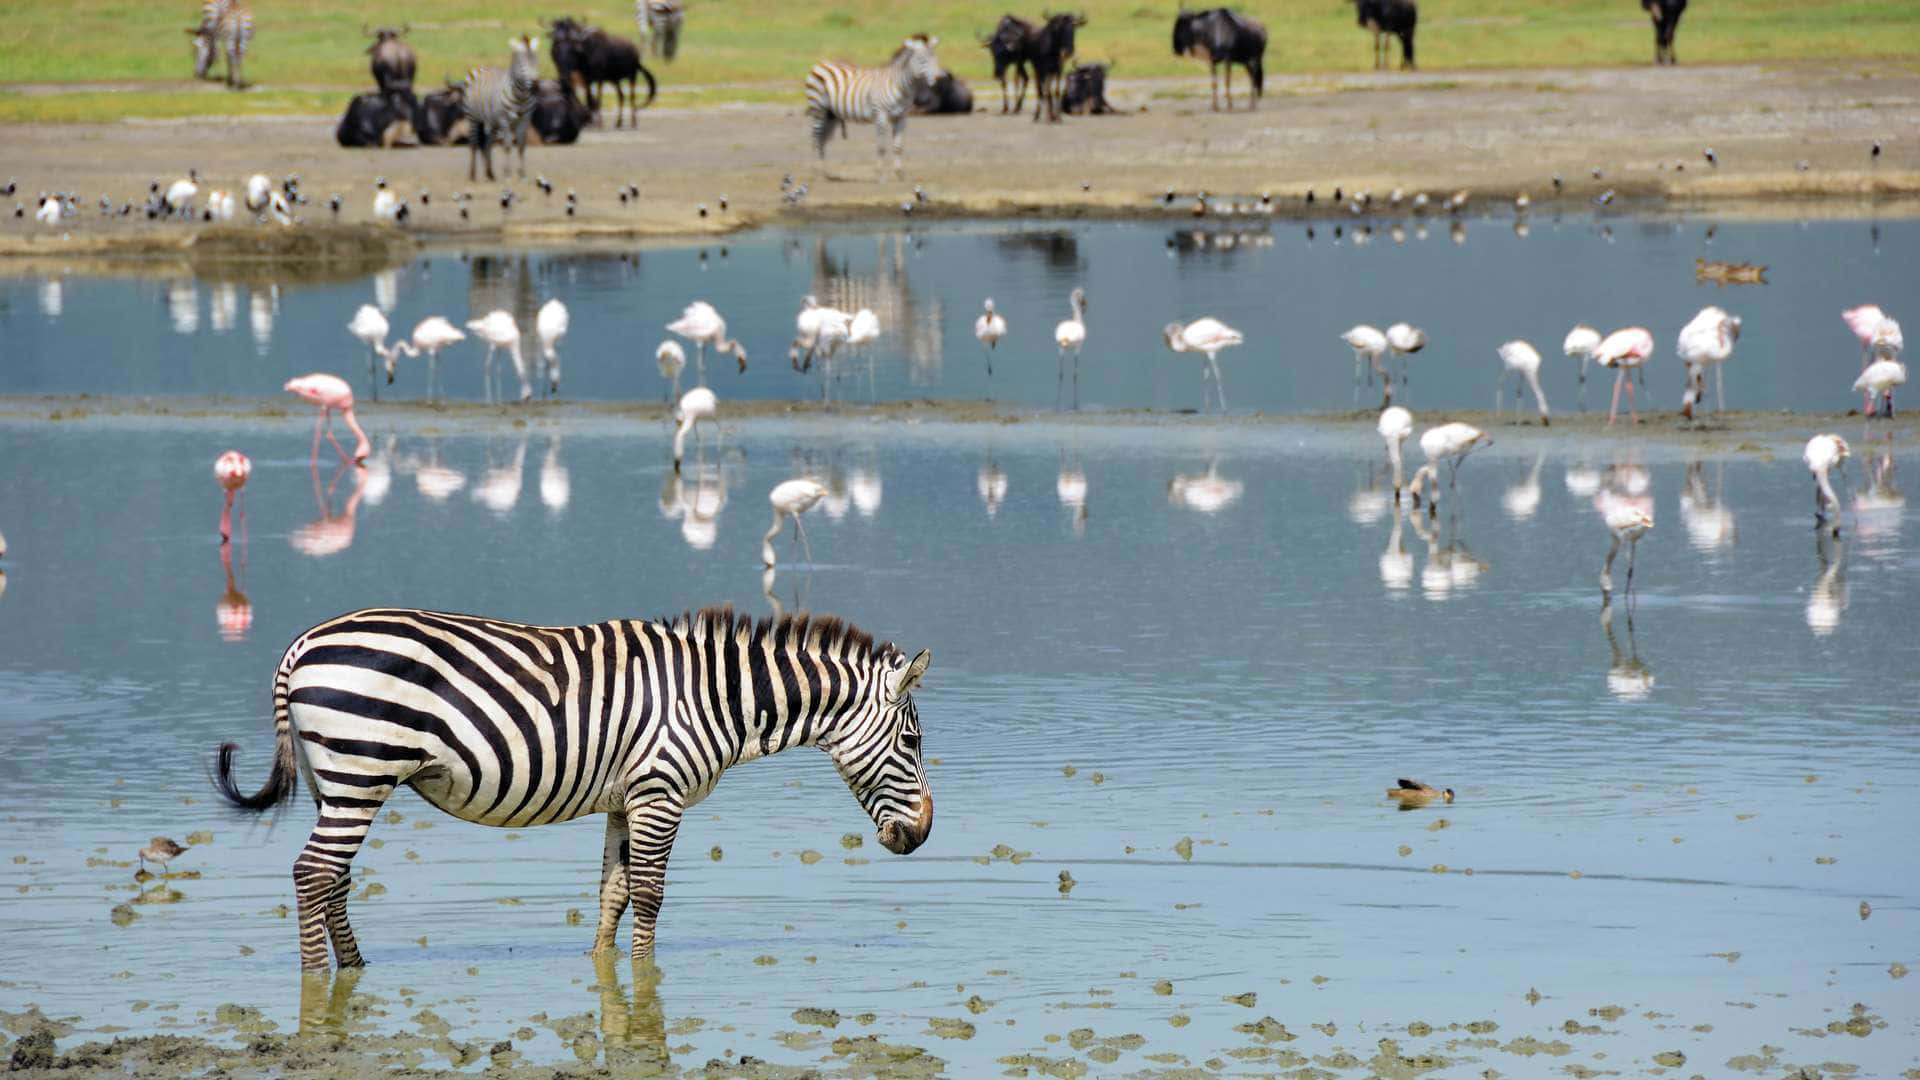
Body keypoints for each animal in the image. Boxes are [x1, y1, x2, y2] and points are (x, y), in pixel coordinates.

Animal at [213, 606, 934, 972]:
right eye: (912, 742)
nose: (924, 834)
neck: (714, 697)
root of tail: (301, 644)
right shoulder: (660, 791)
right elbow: (650, 894)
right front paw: (645, 978)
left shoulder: (626, 797)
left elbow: (613, 891)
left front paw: (602, 966)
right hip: (362, 769)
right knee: (312, 872)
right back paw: (317, 980)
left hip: (337, 779)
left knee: (333, 878)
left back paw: (356, 967)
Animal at [464, 36, 541, 182]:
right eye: (521, 63)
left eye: (536, 60)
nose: (536, 85)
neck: (520, 97)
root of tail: (484, 66)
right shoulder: (504, 120)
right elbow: (507, 146)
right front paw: (507, 174)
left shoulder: (524, 120)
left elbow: (521, 146)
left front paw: (522, 174)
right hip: (472, 117)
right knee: (474, 143)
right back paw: (472, 175)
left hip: (493, 122)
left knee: (487, 143)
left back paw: (490, 173)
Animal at [804, 35, 944, 179]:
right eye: (922, 60)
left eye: (936, 58)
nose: (941, 78)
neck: (900, 86)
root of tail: (821, 62)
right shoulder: (881, 114)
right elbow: (881, 147)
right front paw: (880, 175)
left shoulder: (901, 117)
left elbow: (898, 146)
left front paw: (899, 174)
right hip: (818, 108)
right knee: (816, 137)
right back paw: (817, 172)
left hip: (831, 114)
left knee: (822, 139)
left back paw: (824, 172)